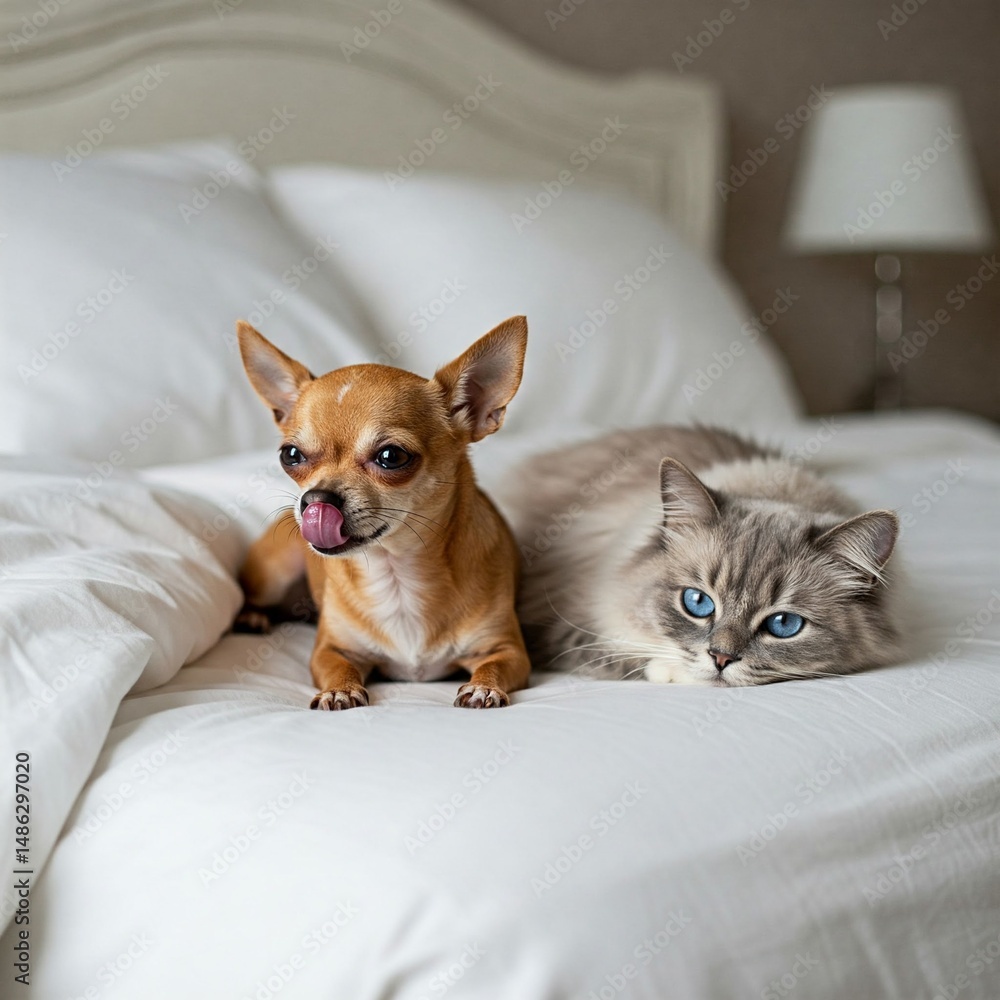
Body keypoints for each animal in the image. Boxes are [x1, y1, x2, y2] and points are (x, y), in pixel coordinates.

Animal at [235, 316, 532, 710]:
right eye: (291, 455)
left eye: (391, 456)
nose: (316, 499)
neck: (396, 574)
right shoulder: (330, 650)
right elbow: (337, 667)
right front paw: (339, 689)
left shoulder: (508, 650)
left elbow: (494, 665)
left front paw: (484, 687)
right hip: (275, 568)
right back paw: (252, 617)